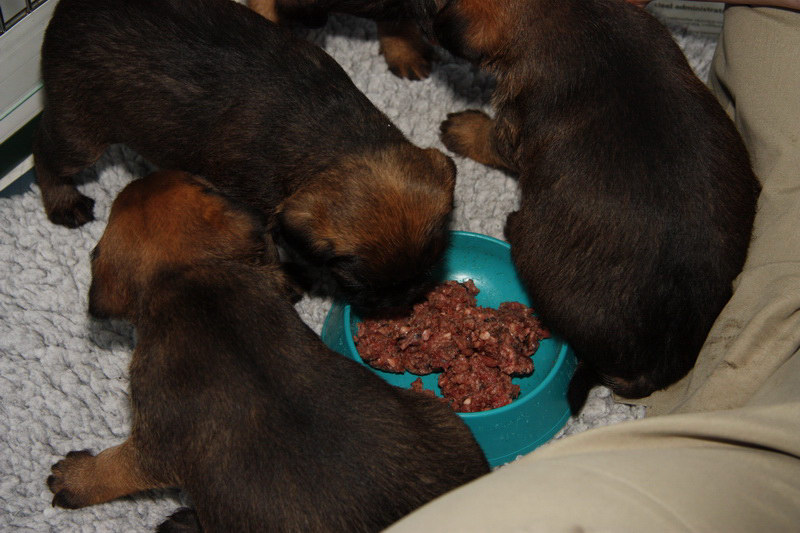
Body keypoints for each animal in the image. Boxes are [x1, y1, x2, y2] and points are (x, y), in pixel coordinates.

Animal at [34, 0, 455, 308]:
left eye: (432, 262)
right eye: (356, 280)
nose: (404, 302)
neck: (338, 142)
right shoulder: (256, 212)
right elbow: (267, 253)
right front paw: (284, 284)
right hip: (81, 133)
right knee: (45, 156)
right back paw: (64, 203)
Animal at [47, 170, 489, 533]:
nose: (144, 175)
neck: (189, 277)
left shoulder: (153, 442)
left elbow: (117, 467)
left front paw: (75, 478)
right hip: (441, 417)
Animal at [431, 0, 760, 398]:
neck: (579, 12)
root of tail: (660, 363)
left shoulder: (512, 126)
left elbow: (490, 139)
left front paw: (464, 128)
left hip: (533, 246)